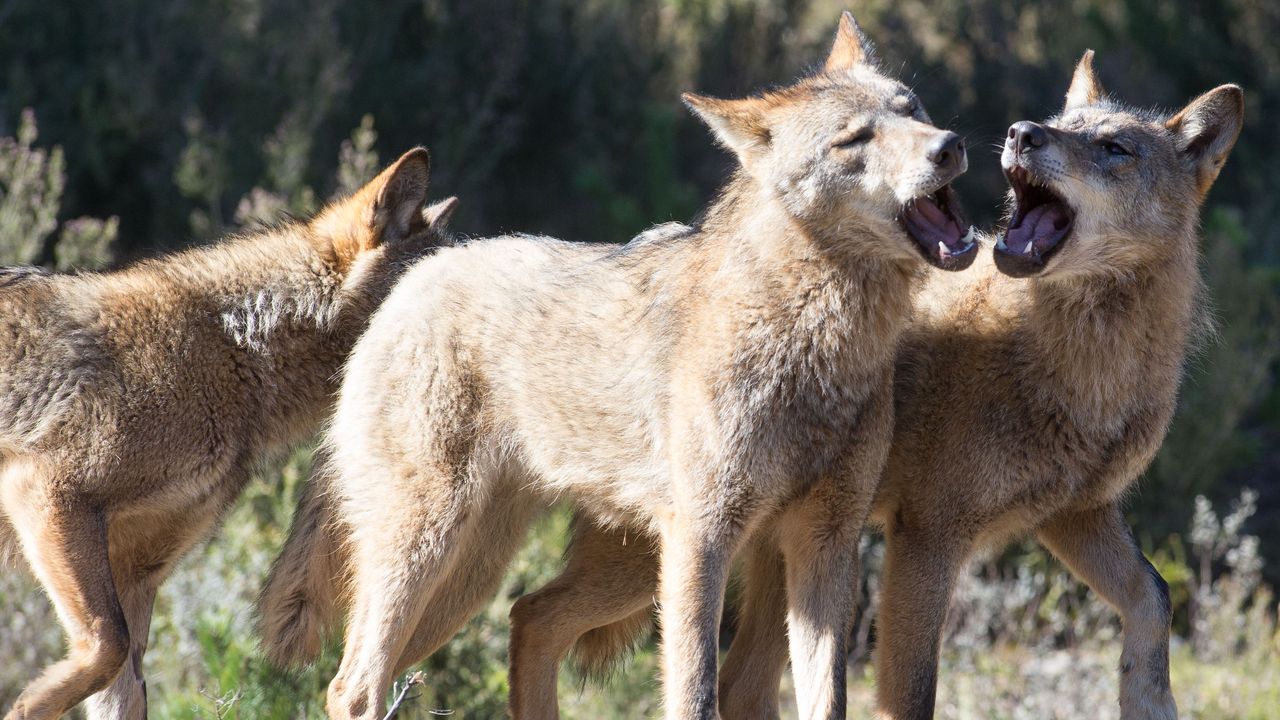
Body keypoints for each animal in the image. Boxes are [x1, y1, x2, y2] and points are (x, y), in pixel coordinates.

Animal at [0, 147, 458, 717]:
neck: (232, 347)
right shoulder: (46, 492)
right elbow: (106, 645)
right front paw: (26, 705)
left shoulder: (135, 573)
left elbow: (123, 681)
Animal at [259, 11, 972, 717]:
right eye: (854, 139)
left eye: (912, 108)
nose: (950, 145)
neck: (814, 351)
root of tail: (413, 279)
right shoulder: (702, 539)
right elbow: (695, 696)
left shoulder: (824, 545)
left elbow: (827, 701)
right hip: (436, 552)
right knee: (353, 686)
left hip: (494, 578)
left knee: (522, 621)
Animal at [496, 50, 1239, 717]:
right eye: (1059, 125)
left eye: (1114, 148)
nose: (1023, 132)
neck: (1085, 373)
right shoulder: (928, 535)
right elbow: (911, 696)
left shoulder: (1075, 515)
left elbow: (1154, 597)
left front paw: (1147, 699)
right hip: (673, 552)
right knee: (538, 616)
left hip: (779, 548)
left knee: (710, 673)